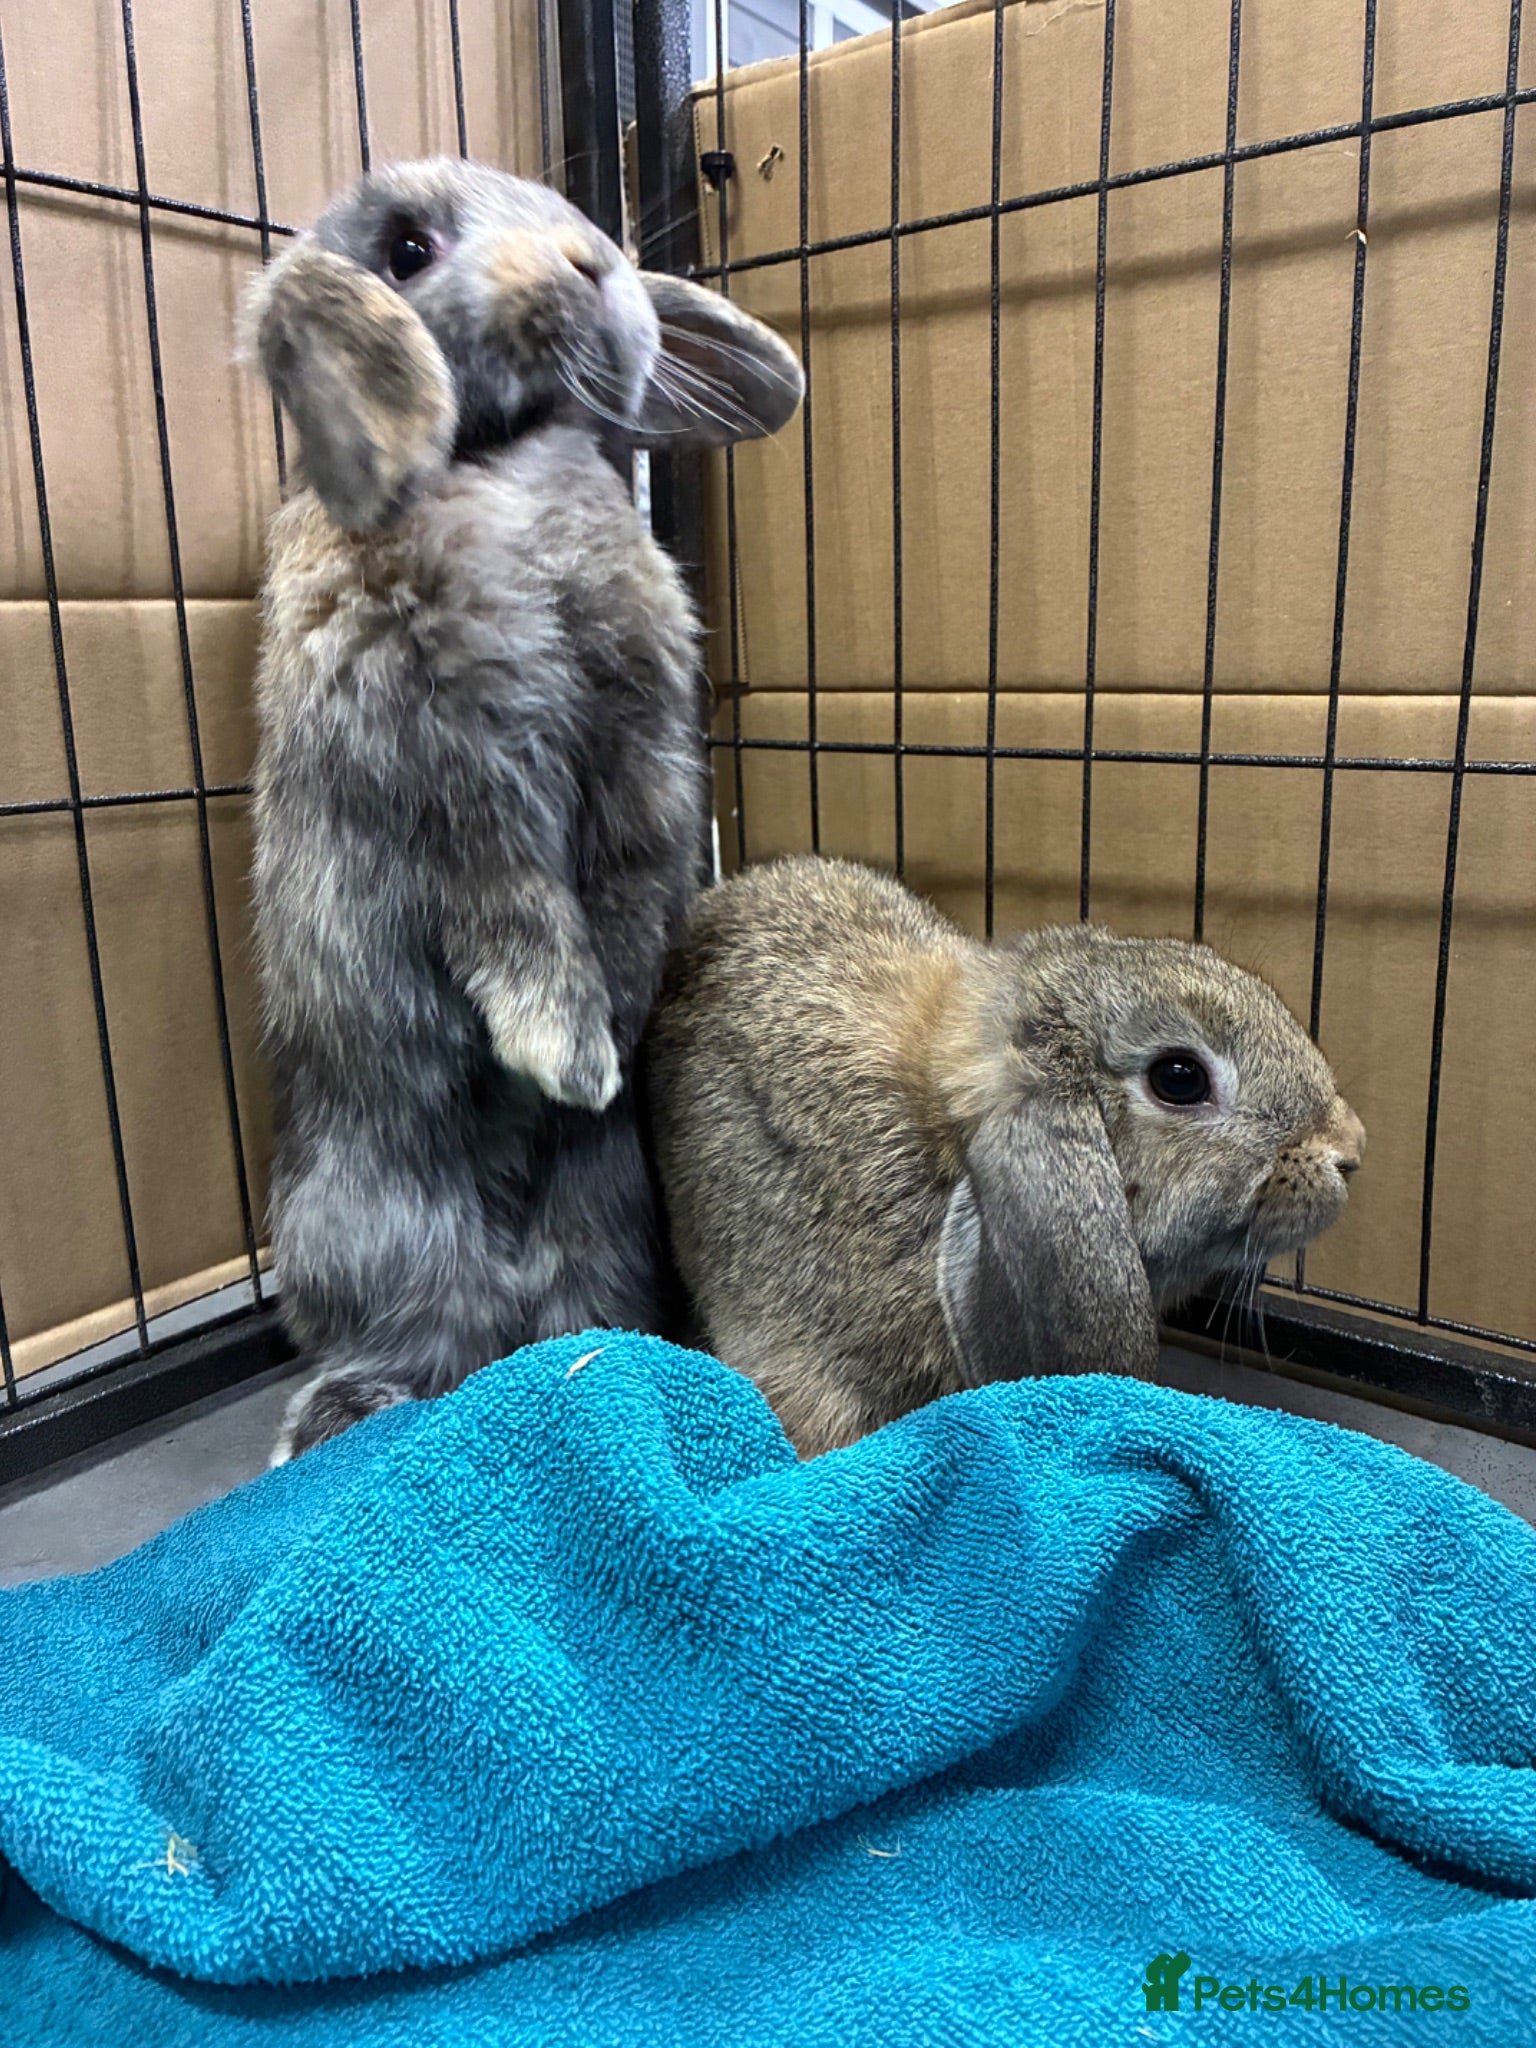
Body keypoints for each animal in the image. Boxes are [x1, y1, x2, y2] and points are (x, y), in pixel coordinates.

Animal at [242, 158, 803, 1462]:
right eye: (405, 249)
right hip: (379, 1215)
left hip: (608, 1208)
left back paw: (617, 1363)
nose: (593, 264)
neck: (506, 461)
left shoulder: (638, 744)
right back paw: (344, 1416)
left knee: (567, 1305)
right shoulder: (453, 762)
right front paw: (568, 1054)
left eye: (570, 209)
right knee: (420, 1336)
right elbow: (513, 908)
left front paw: (613, 1021)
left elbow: (623, 887)